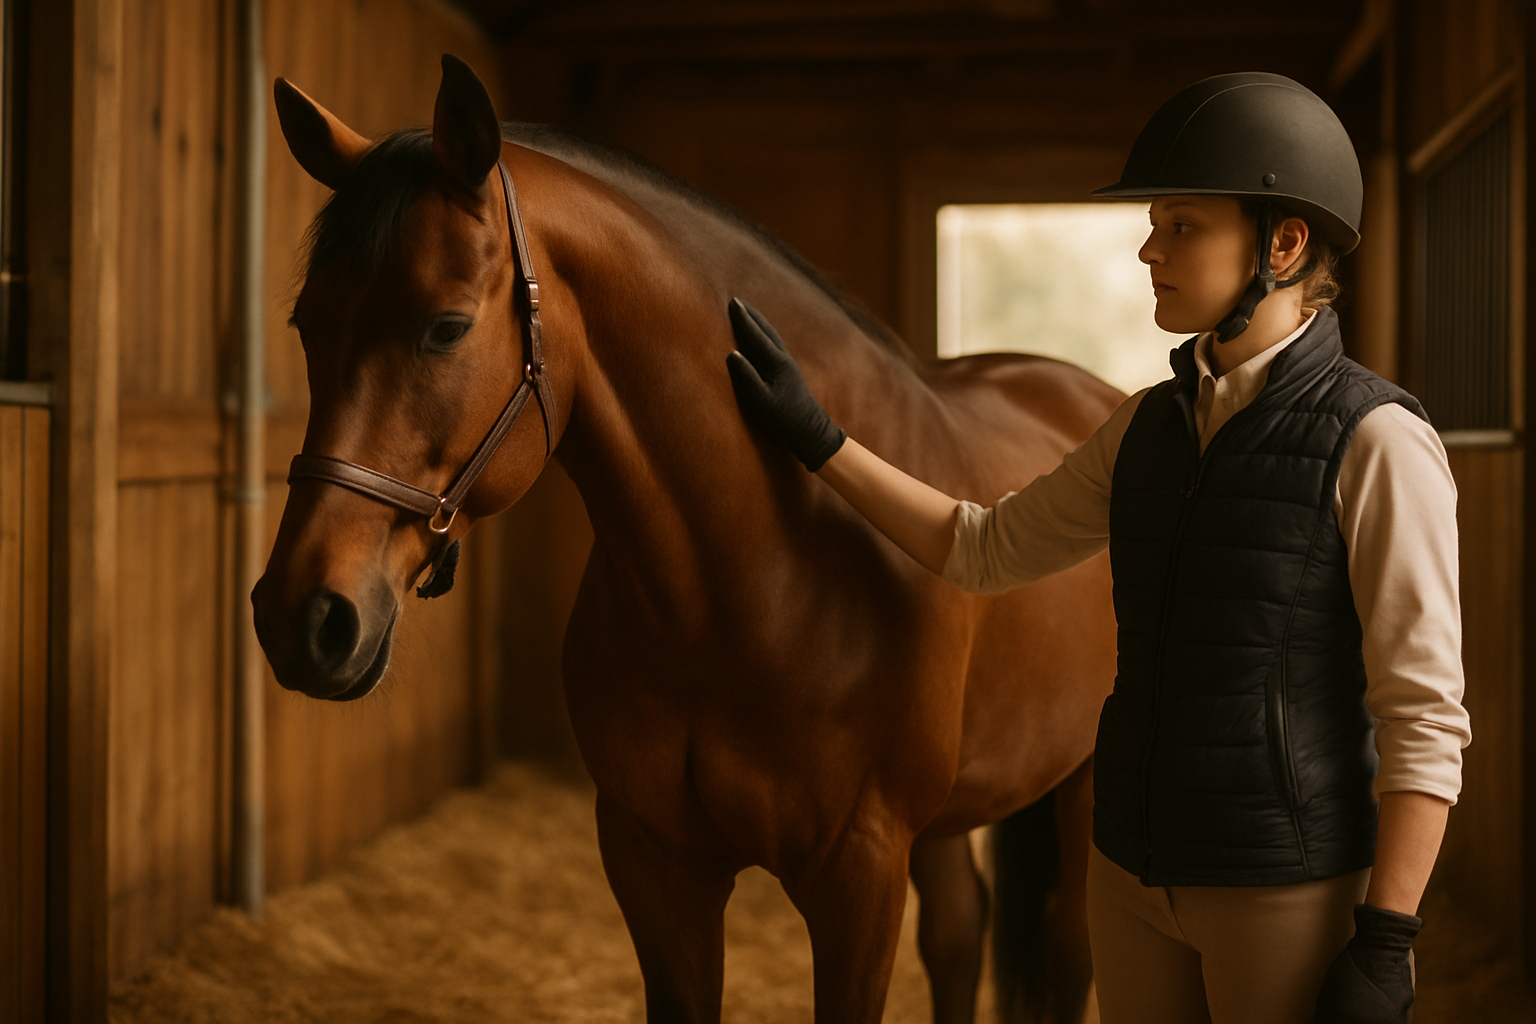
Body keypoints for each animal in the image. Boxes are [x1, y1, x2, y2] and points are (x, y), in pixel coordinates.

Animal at [251, 55, 1121, 1024]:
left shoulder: (858, 872)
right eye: (307, 325)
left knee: (1071, 949)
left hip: (1080, 790)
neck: (758, 573)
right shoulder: (655, 862)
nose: (301, 617)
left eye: (447, 328)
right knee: (961, 934)